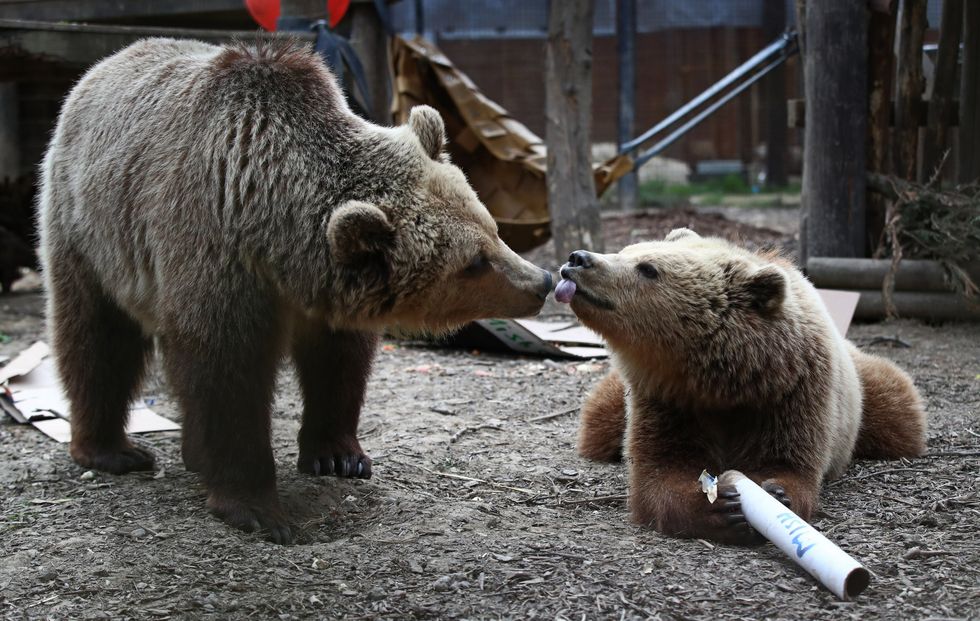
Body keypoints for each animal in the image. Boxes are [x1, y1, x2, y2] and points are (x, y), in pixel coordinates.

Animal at [38, 38, 556, 544]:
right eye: (474, 262)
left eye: (492, 228)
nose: (541, 282)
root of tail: (103, 65)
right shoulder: (214, 253)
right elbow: (227, 377)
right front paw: (256, 507)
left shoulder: (328, 298)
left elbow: (338, 365)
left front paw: (338, 456)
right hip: (90, 232)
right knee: (96, 339)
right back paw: (112, 450)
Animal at [560, 228, 928, 544]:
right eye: (626, 251)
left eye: (648, 268)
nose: (577, 259)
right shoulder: (666, 401)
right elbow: (661, 470)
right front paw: (718, 505)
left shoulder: (793, 393)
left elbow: (790, 462)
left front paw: (775, 494)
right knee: (599, 421)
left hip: (868, 392)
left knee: (897, 410)